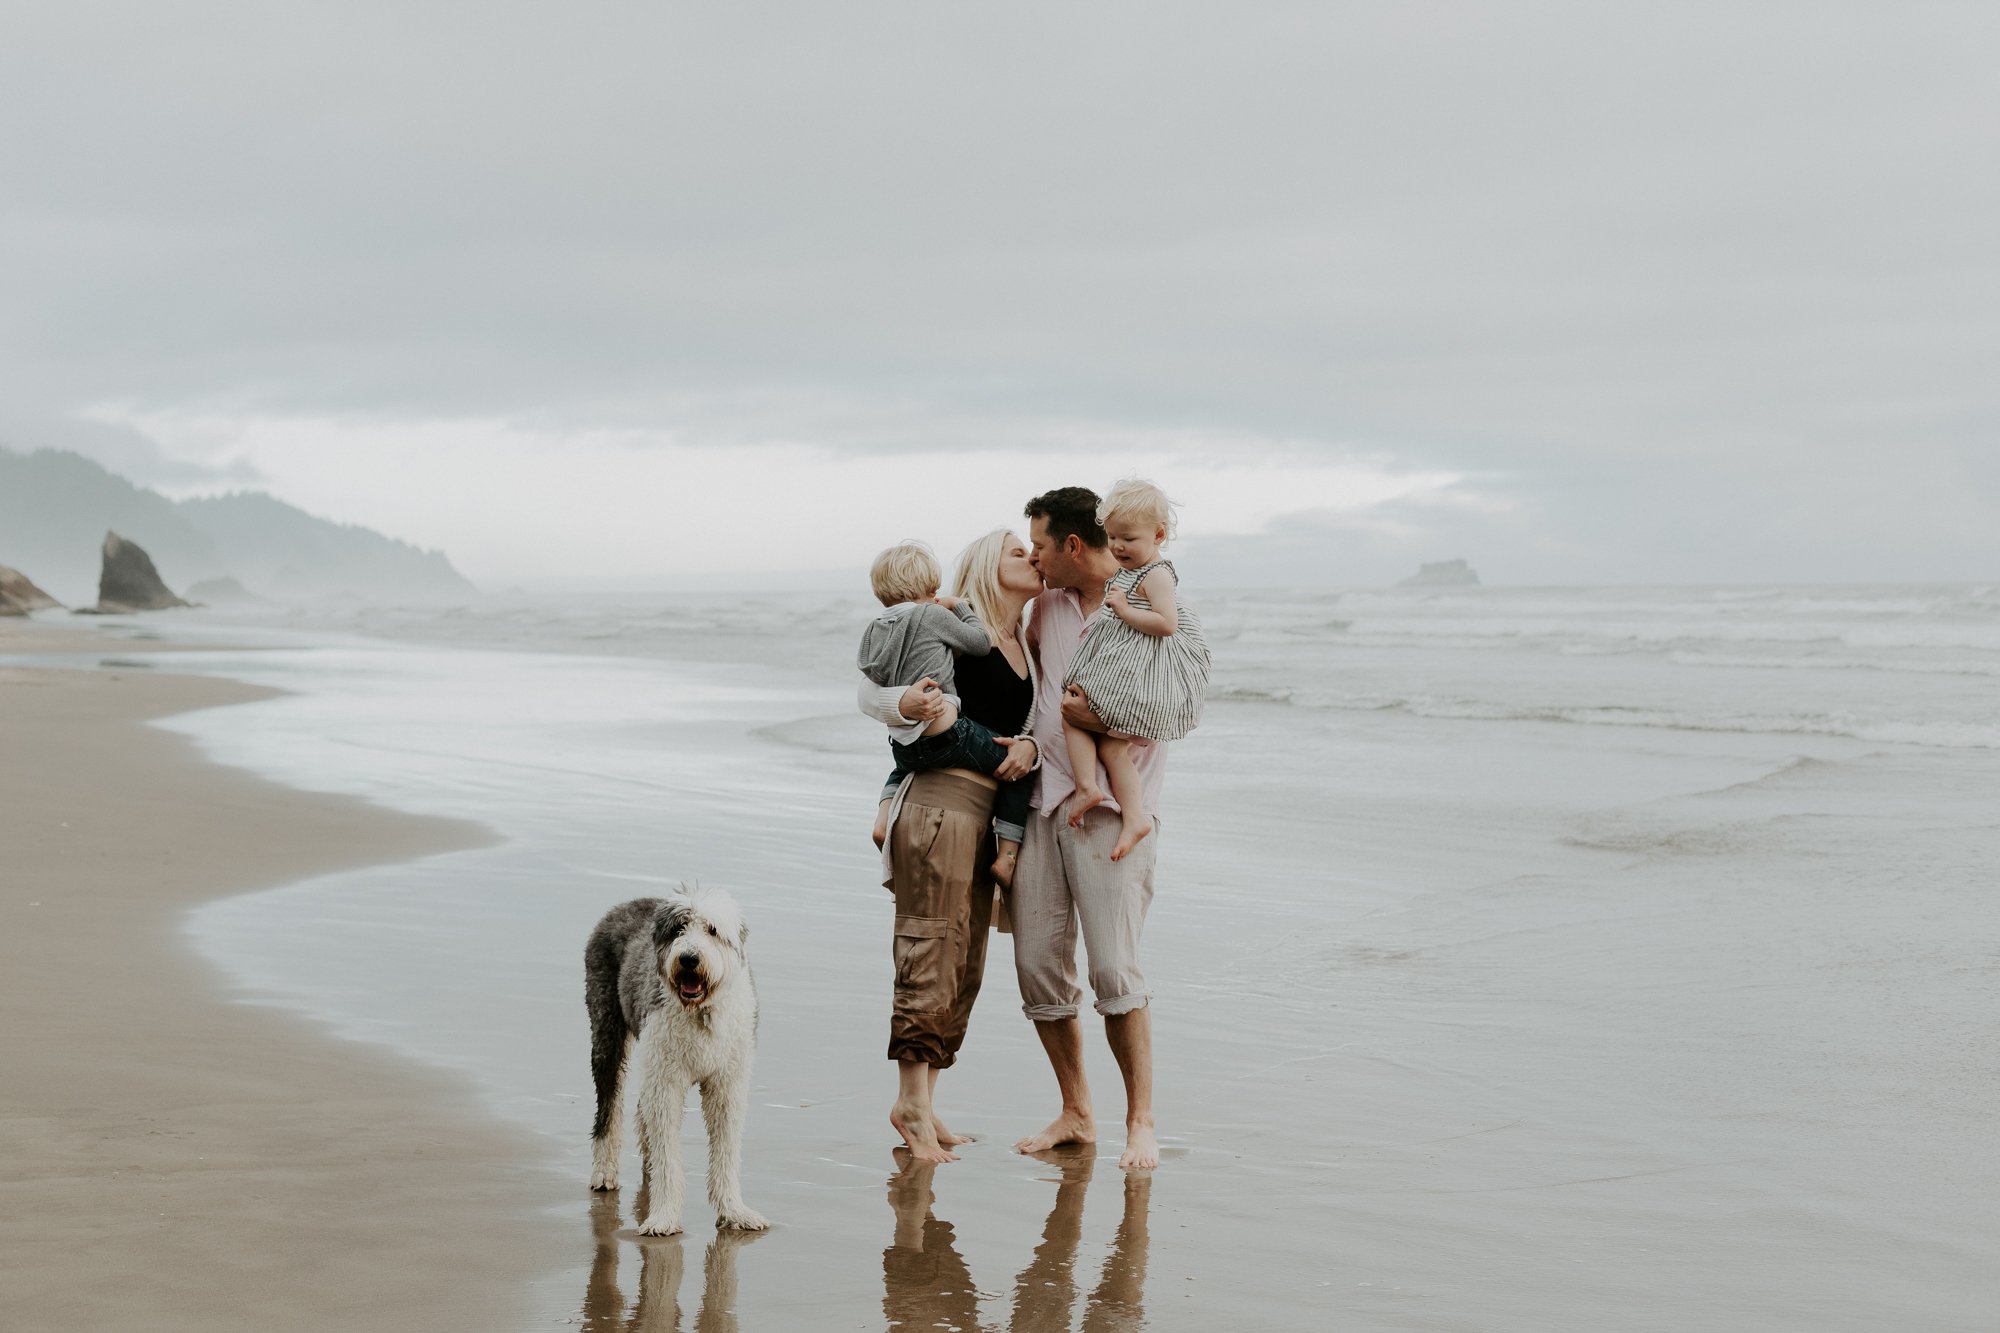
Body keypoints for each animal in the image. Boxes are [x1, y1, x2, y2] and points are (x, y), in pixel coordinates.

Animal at [584, 888, 768, 1232]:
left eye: (712, 930)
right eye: (678, 929)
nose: (689, 959)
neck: (700, 1012)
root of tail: (624, 904)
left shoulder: (726, 1084)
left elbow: (726, 1150)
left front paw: (735, 1211)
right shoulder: (666, 1081)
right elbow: (667, 1153)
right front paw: (664, 1217)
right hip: (606, 1029)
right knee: (608, 1107)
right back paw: (604, 1172)